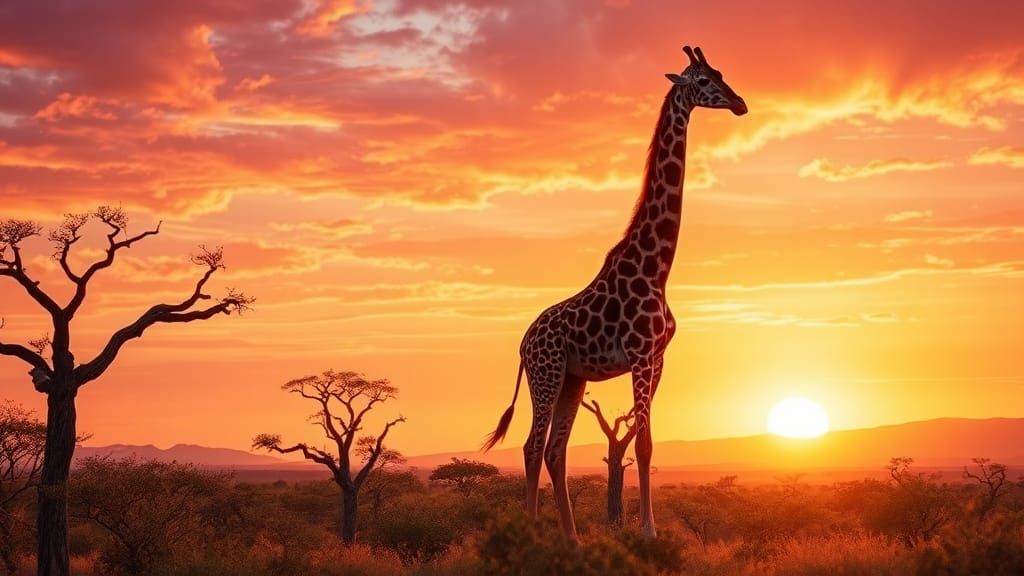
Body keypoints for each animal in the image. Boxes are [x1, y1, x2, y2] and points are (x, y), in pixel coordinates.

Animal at [483, 45, 747, 542]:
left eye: (722, 73)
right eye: (703, 81)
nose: (740, 103)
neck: (657, 269)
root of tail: (523, 343)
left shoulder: (659, 358)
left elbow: (647, 444)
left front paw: (645, 529)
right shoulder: (641, 354)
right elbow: (642, 443)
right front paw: (648, 533)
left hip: (572, 378)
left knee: (555, 450)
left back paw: (573, 541)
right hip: (546, 374)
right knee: (532, 446)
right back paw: (532, 535)